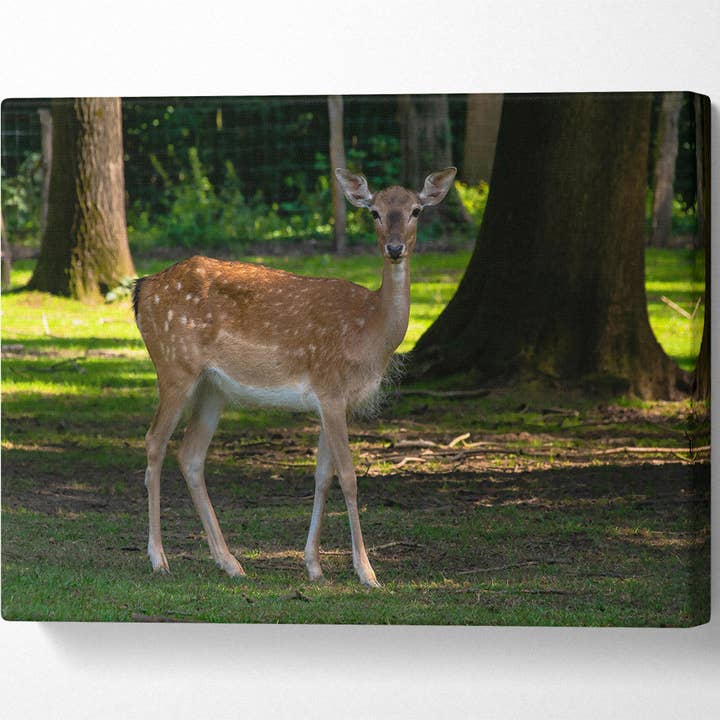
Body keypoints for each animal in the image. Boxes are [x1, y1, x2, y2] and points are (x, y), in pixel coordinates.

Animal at [133, 166, 457, 587]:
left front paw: (314, 565)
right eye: (374, 212)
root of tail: (141, 289)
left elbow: (322, 476)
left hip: (212, 388)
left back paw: (230, 562)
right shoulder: (330, 388)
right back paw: (159, 558)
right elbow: (349, 477)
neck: (368, 331)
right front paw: (366, 572)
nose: (395, 248)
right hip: (174, 366)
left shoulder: (333, 402)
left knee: (190, 455)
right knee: (154, 441)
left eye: (417, 210)